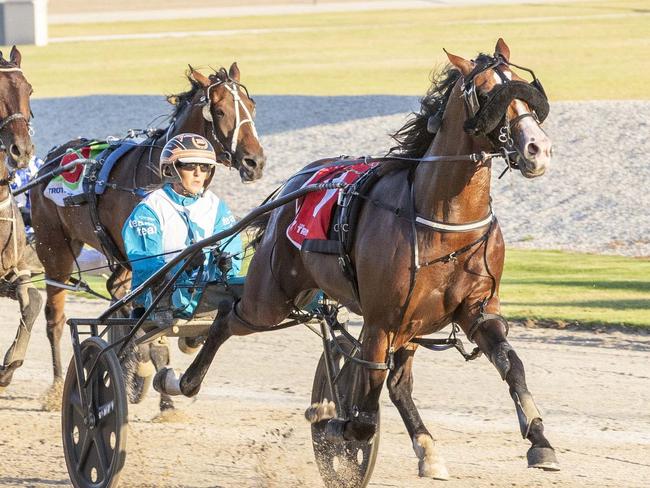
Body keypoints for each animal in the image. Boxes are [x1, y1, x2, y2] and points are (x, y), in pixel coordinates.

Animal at [30, 63, 264, 408]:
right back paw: (60, 383)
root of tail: (52, 159)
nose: (255, 162)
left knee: (116, 291)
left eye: (251, 107)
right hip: (55, 247)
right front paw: (152, 379)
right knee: (55, 317)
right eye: (220, 111)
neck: (156, 175)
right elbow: (152, 322)